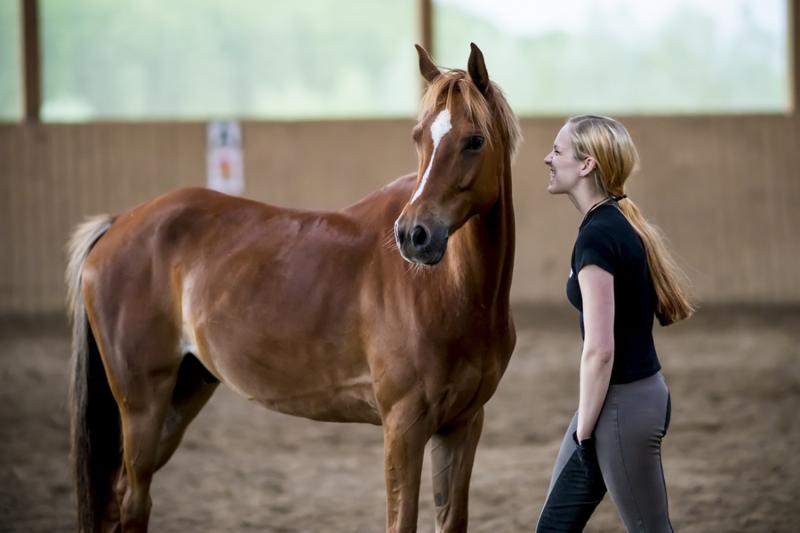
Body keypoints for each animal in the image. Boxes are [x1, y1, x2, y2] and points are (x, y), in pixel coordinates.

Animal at [66, 43, 522, 533]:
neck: (451, 293)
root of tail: (117, 224)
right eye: (419, 137)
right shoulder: (404, 425)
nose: (413, 235)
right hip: (142, 405)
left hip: (181, 396)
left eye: (474, 140)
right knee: (133, 503)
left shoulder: (462, 425)